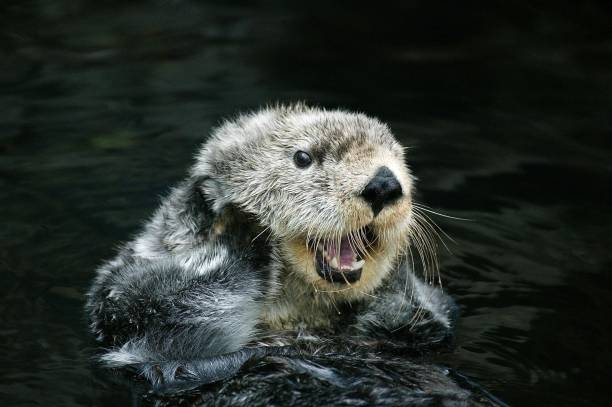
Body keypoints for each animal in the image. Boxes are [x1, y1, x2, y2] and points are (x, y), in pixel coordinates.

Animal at [88, 103, 456, 388]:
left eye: (399, 159)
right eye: (303, 157)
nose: (383, 184)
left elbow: (429, 320)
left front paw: (399, 277)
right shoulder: (129, 305)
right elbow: (183, 313)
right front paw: (241, 221)